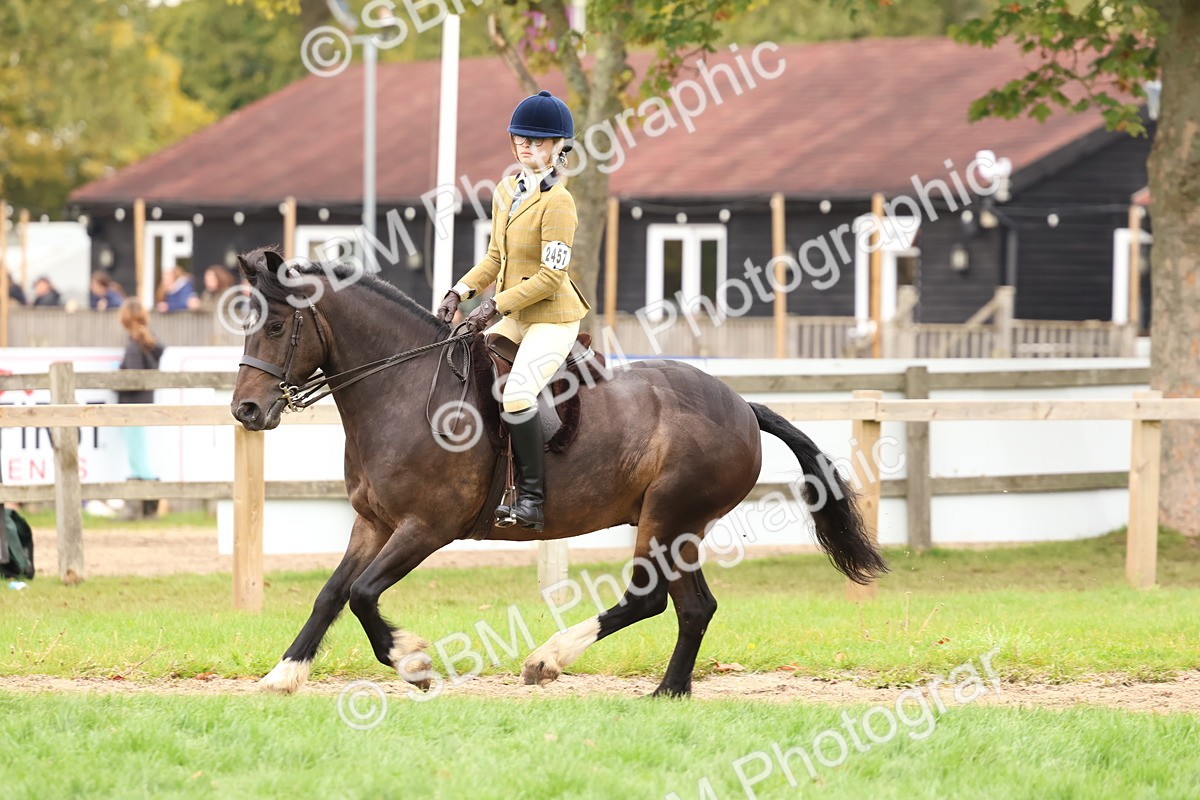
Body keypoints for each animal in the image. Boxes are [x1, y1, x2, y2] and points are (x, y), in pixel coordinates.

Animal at [230, 247, 887, 697]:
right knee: (692, 607)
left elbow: (363, 593)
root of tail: (742, 406)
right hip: (678, 527)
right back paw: (662, 689)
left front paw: (413, 663)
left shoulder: (426, 526)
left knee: (658, 600)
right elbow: (331, 593)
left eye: (277, 326)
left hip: (669, 519)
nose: (246, 411)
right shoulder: (373, 523)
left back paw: (561, 662)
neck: (404, 387)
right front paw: (283, 674)